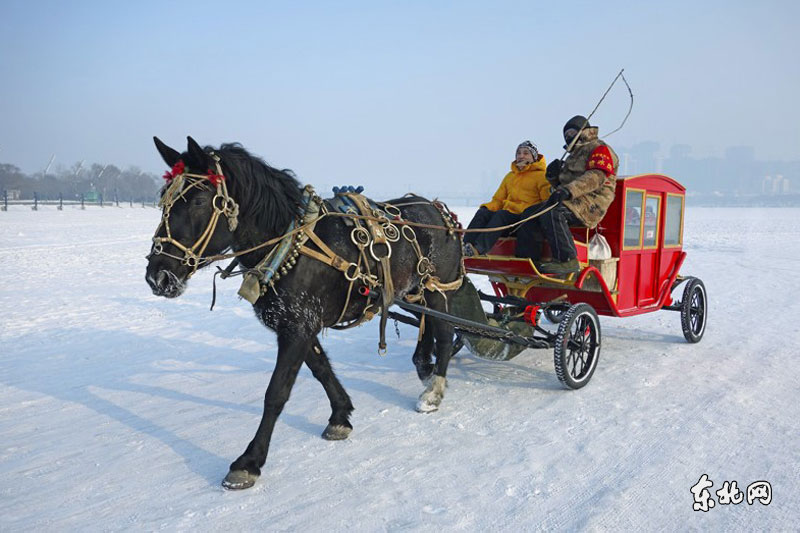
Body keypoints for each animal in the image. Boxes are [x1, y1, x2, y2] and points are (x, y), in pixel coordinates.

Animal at [145, 135, 462, 488]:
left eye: (199, 201)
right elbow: (321, 368)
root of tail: (438, 209)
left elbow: (276, 392)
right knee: (429, 328)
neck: (287, 245)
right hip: (415, 293)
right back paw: (424, 368)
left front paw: (250, 461)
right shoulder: (297, 324)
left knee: (445, 334)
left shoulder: (297, 327)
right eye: (165, 200)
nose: (157, 276)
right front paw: (341, 415)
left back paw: (434, 391)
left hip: (437, 290)